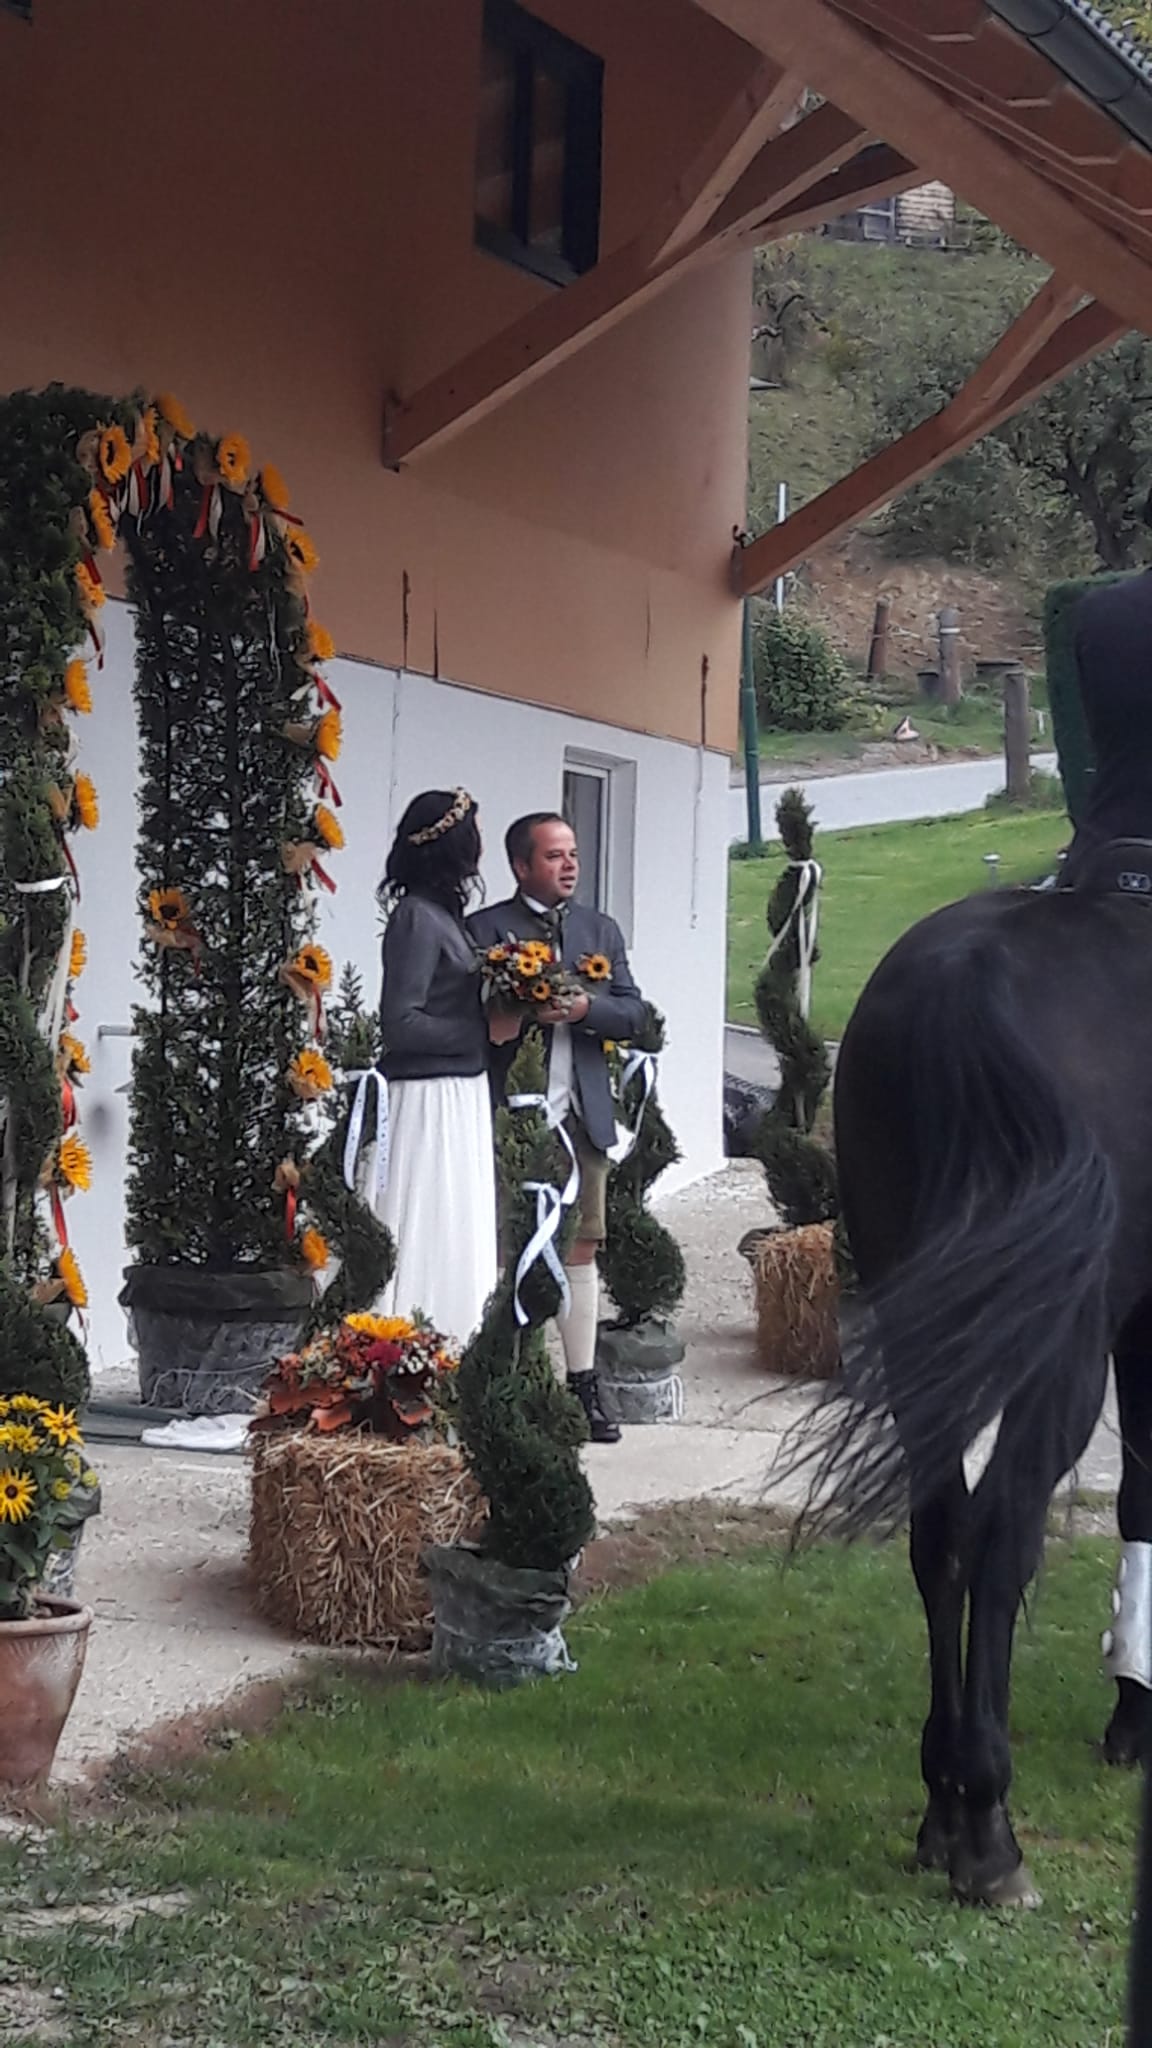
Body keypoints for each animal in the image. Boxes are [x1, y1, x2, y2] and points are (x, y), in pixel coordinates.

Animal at [818, 871, 1152, 1908]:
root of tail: (971, 981)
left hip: (921, 1327)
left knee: (942, 1536)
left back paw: (942, 1805)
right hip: (1058, 1355)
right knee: (1004, 1535)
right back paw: (988, 1830)